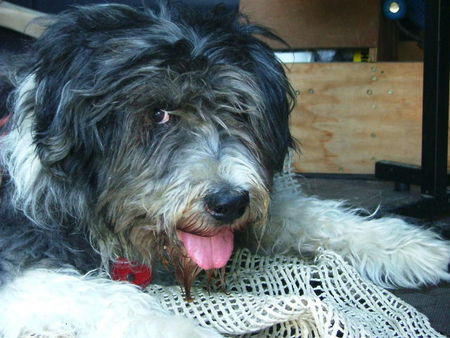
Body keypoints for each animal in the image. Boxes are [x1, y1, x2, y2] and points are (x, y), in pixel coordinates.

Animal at [0, 3, 450, 338]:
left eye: (236, 110)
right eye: (158, 113)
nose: (229, 203)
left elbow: (309, 215)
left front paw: (410, 247)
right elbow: (119, 301)